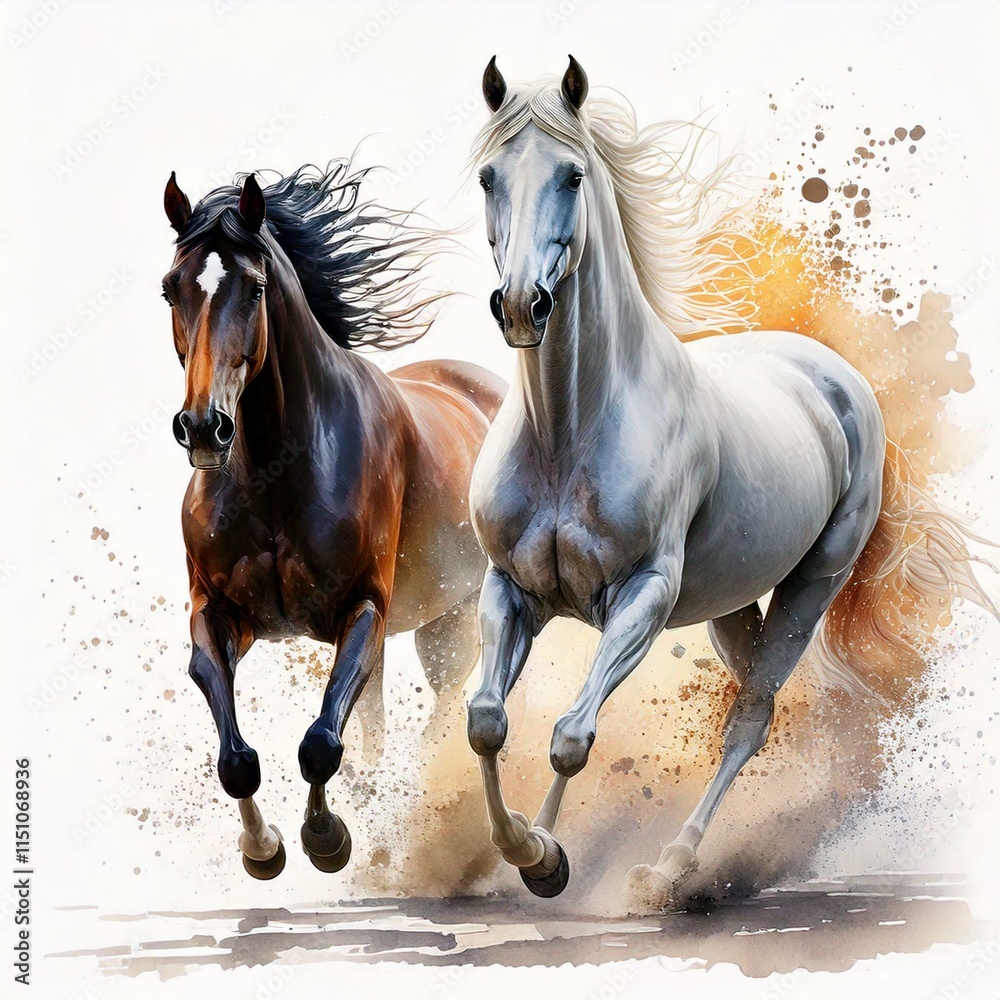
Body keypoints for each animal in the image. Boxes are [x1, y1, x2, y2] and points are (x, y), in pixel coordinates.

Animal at [162, 163, 504, 878]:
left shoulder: (363, 610)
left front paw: (326, 838)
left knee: (434, 718)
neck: (273, 475)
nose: (204, 427)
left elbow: (320, 743)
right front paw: (263, 849)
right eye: (170, 289)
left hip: (451, 622)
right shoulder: (218, 613)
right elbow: (236, 758)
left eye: (256, 287)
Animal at [463, 56, 994, 910]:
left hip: (811, 586)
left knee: (750, 715)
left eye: (572, 174)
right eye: (488, 177)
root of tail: (837, 379)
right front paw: (530, 851)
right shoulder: (510, 589)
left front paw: (547, 858)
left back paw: (668, 868)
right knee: (755, 700)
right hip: (731, 602)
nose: (520, 306)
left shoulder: (643, 597)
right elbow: (485, 720)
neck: (568, 431)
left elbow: (572, 737)